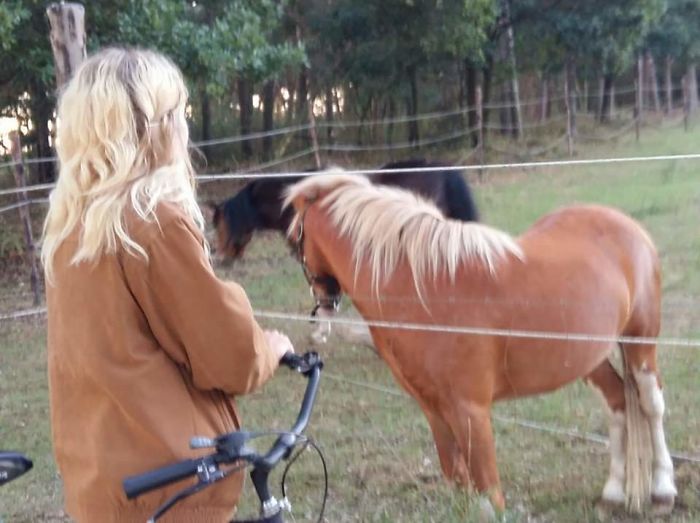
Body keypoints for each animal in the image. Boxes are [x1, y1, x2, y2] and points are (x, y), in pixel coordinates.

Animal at [282, 173, 676, 514]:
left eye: (294, 241)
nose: (321, 308)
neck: (424, 289)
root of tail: (625, 223)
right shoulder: (434, 410)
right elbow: (458, 484)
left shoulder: (471, 411)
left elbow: (490, 498)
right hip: (589, 357)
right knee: (618, 403)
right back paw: (613, 492)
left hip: (640, 341)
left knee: (650, 404)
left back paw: (663, 490)